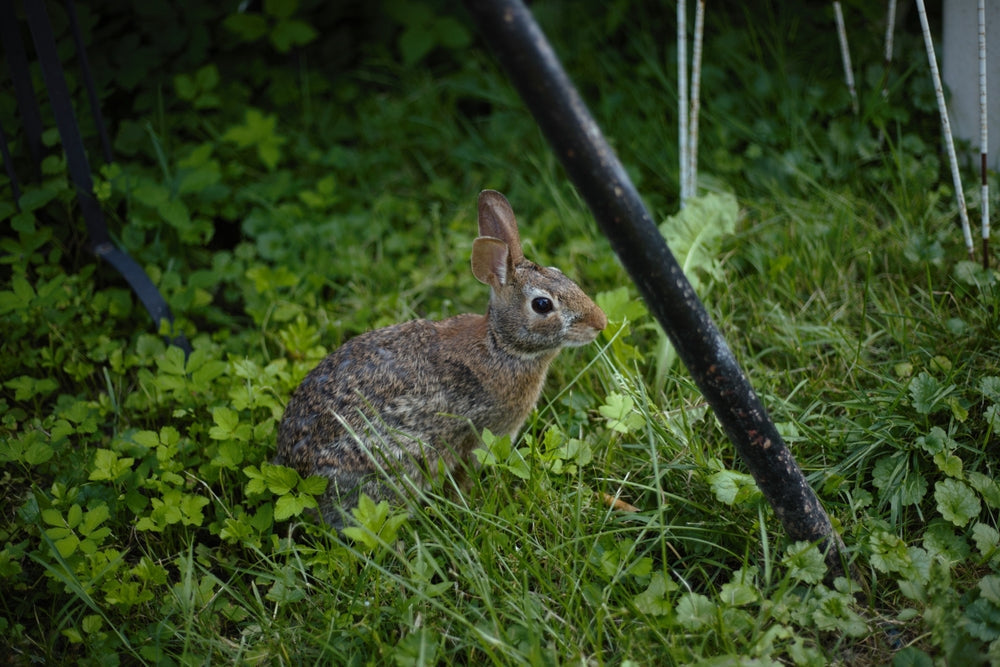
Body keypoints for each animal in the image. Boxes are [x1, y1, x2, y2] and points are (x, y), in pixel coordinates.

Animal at [275, 190, 607, 528]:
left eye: (559, 273)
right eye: (542, 305)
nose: (600, 322)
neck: (501, 346)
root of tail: (301, 473)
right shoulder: (477, 435)